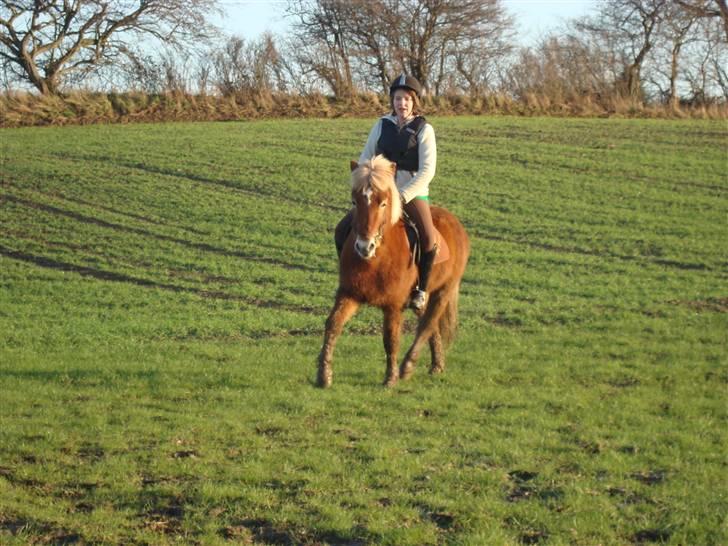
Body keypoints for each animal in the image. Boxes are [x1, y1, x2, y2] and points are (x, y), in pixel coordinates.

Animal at [317, 155, 470, 387]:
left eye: (383, 203)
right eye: (355, 201)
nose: (365, 246)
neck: (375, 260)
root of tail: (455, 223)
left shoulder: (393, 305)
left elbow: (390, 338)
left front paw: (391, 378)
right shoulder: (349, 294)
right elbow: (333, 324)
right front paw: (324, 374)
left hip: (443, 291)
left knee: (427, 325)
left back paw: (407, 366)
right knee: (430, 325)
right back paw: (436, 365)